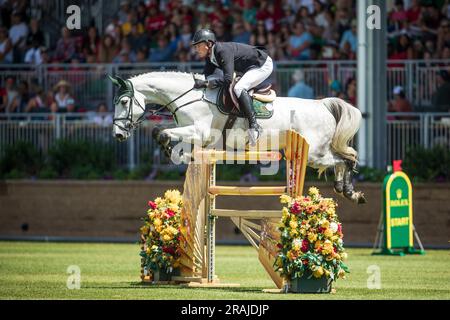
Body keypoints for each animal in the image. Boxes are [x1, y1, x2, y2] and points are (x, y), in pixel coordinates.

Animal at [110, 71, 366, 204]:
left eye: (123, 101)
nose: (118, 134)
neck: (188, 97)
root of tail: (322, 105)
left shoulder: (199, 131)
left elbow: (161, 132)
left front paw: (167, 148)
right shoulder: (196, 138)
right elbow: (163, 134)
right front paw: (173, 153)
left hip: (313, 153)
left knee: (345, 158)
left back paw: (350, 190)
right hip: (316, 152)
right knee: (341, 159)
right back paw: (345, 189)